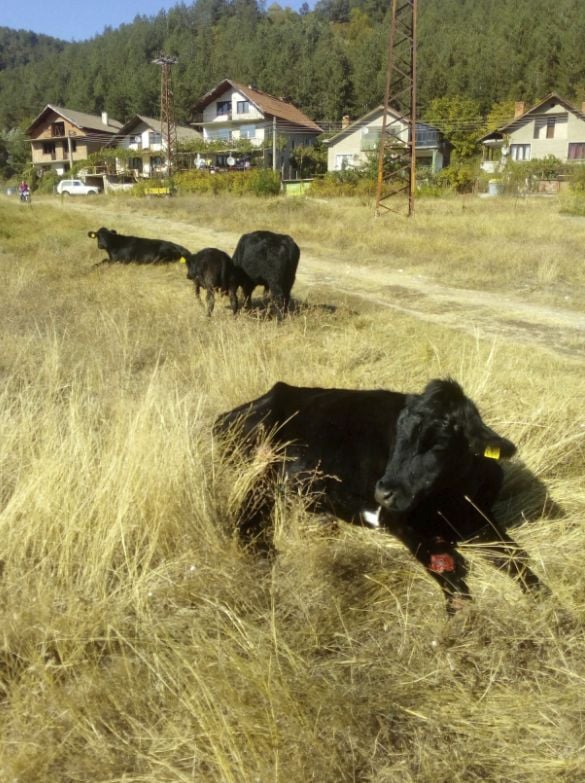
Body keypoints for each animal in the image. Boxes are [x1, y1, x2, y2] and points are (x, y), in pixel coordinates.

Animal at [214, 382, 548, 620]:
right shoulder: (397, 521)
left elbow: (518, 558)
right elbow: (450, 574)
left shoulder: (481, 517)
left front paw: (549, 606)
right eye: (396, 435)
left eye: (438, 443)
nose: (383, 491)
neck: (451, 498)